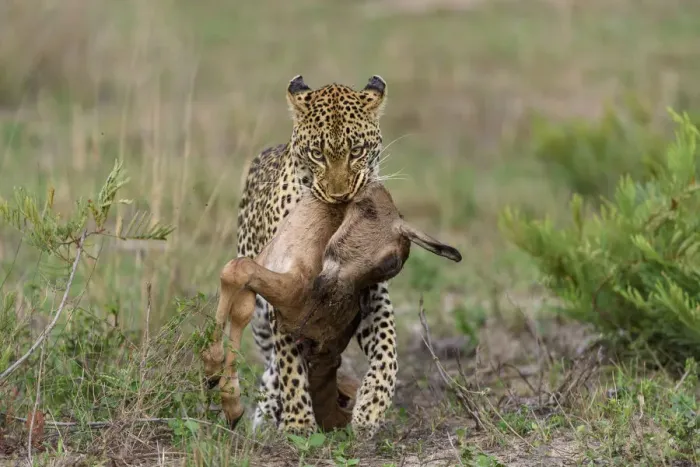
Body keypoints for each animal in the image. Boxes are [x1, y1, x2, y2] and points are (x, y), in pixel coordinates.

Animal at [234, 75, 398, 437]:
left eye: (356, 151)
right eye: (317, 154)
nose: (339, 196)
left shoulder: (371, 293)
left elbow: (387, 348)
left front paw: (371, 408)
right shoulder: (283, 293)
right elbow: (289, 364)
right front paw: (298, 423)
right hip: (257, 315)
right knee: (271, 362)